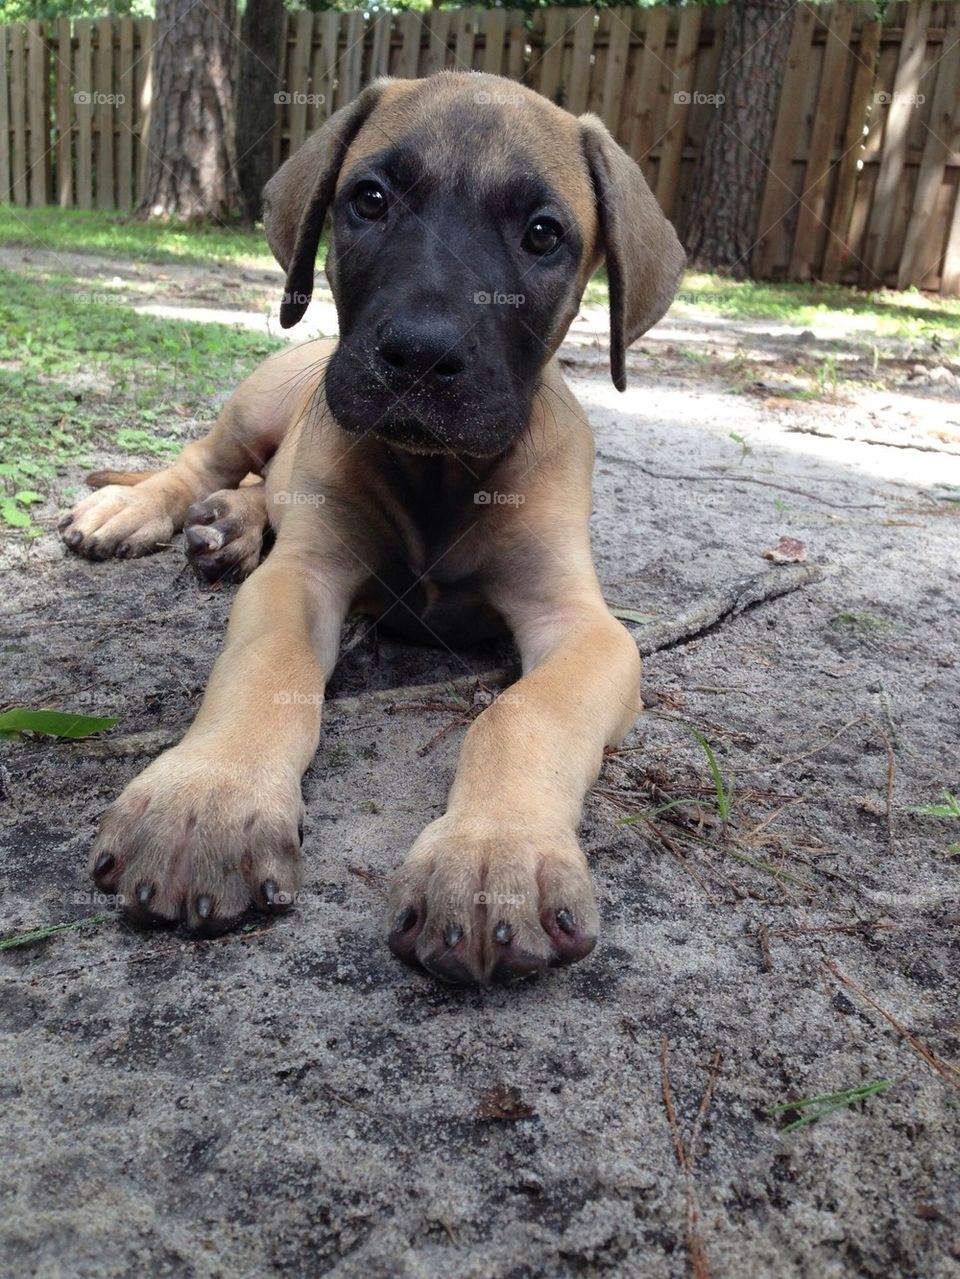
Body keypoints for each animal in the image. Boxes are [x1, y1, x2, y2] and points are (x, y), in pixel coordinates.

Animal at [58, 70, 685, 982]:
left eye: (543, 233)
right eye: (370, 199)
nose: (420, 355)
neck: (439, 478)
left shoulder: (582, 624)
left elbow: (521, 714)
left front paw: (493, 853)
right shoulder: (304, 576)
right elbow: (267, 669)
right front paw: (209, 797)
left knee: (259, 486)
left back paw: (231, 526)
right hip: (262, 398)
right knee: (204, 459)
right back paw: (137, 510)